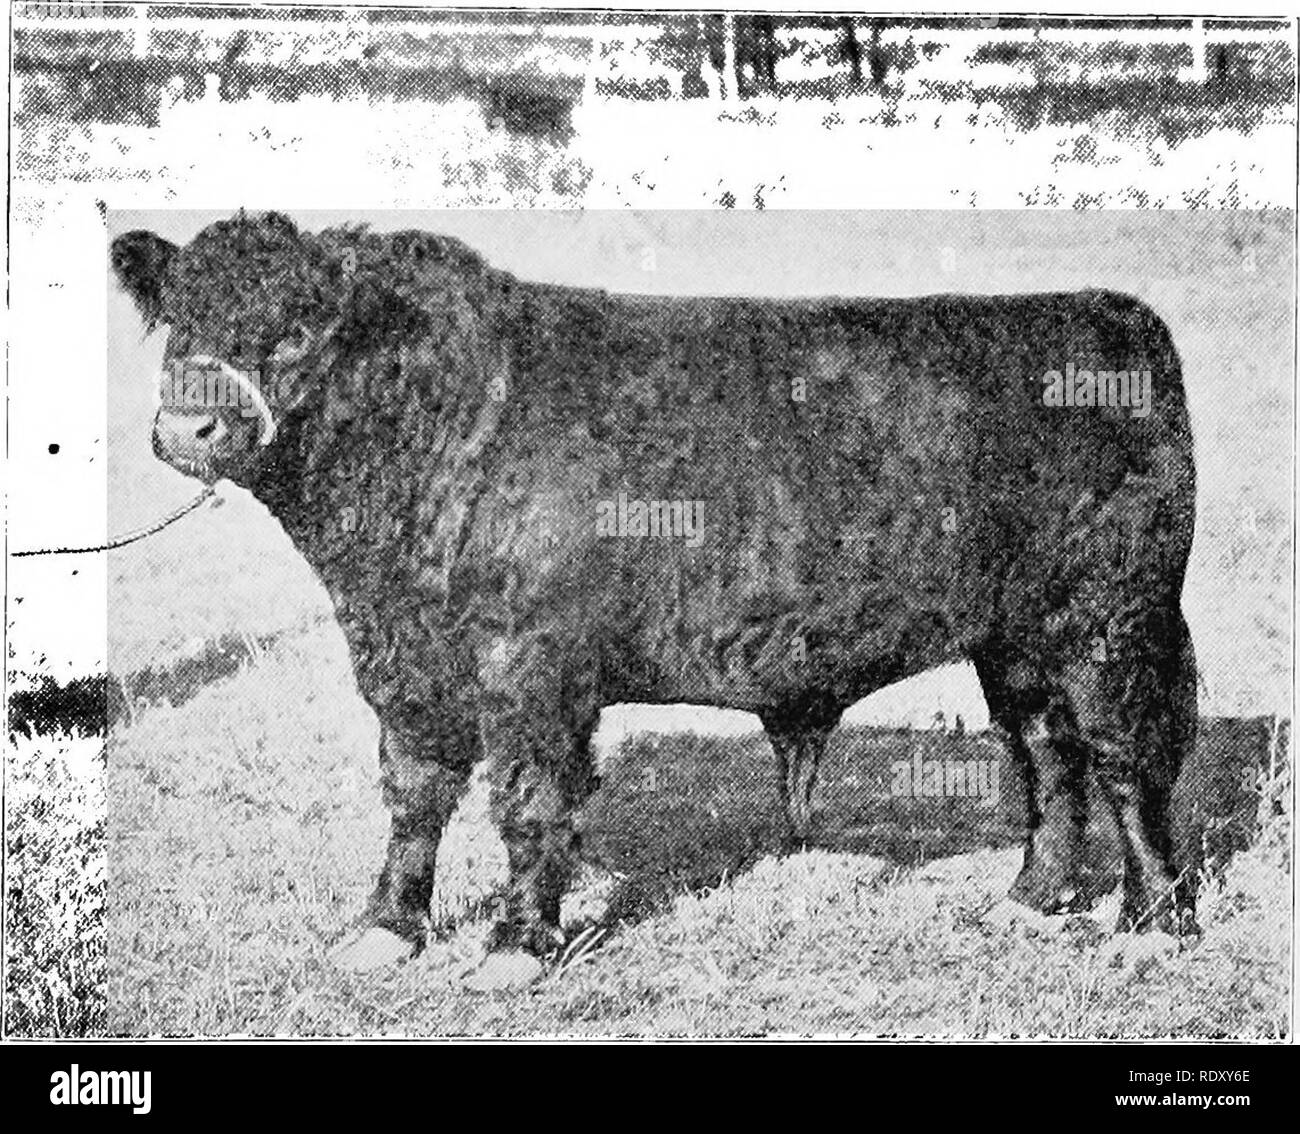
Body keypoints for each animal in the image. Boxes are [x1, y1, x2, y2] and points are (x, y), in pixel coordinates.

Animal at [111, 212, 1198, 989]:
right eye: (178, 324)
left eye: (298, 330)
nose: (188, 428)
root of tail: (1107, 311)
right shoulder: (402, 663)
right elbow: (414, 794)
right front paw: (385, 929)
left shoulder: (533, 667)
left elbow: (529, 803)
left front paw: (516, 948)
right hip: (1018, 640)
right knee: (1046, 754)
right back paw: (1028, 901)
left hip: (1111, 623)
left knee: (1124, 763)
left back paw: (1151, 927)